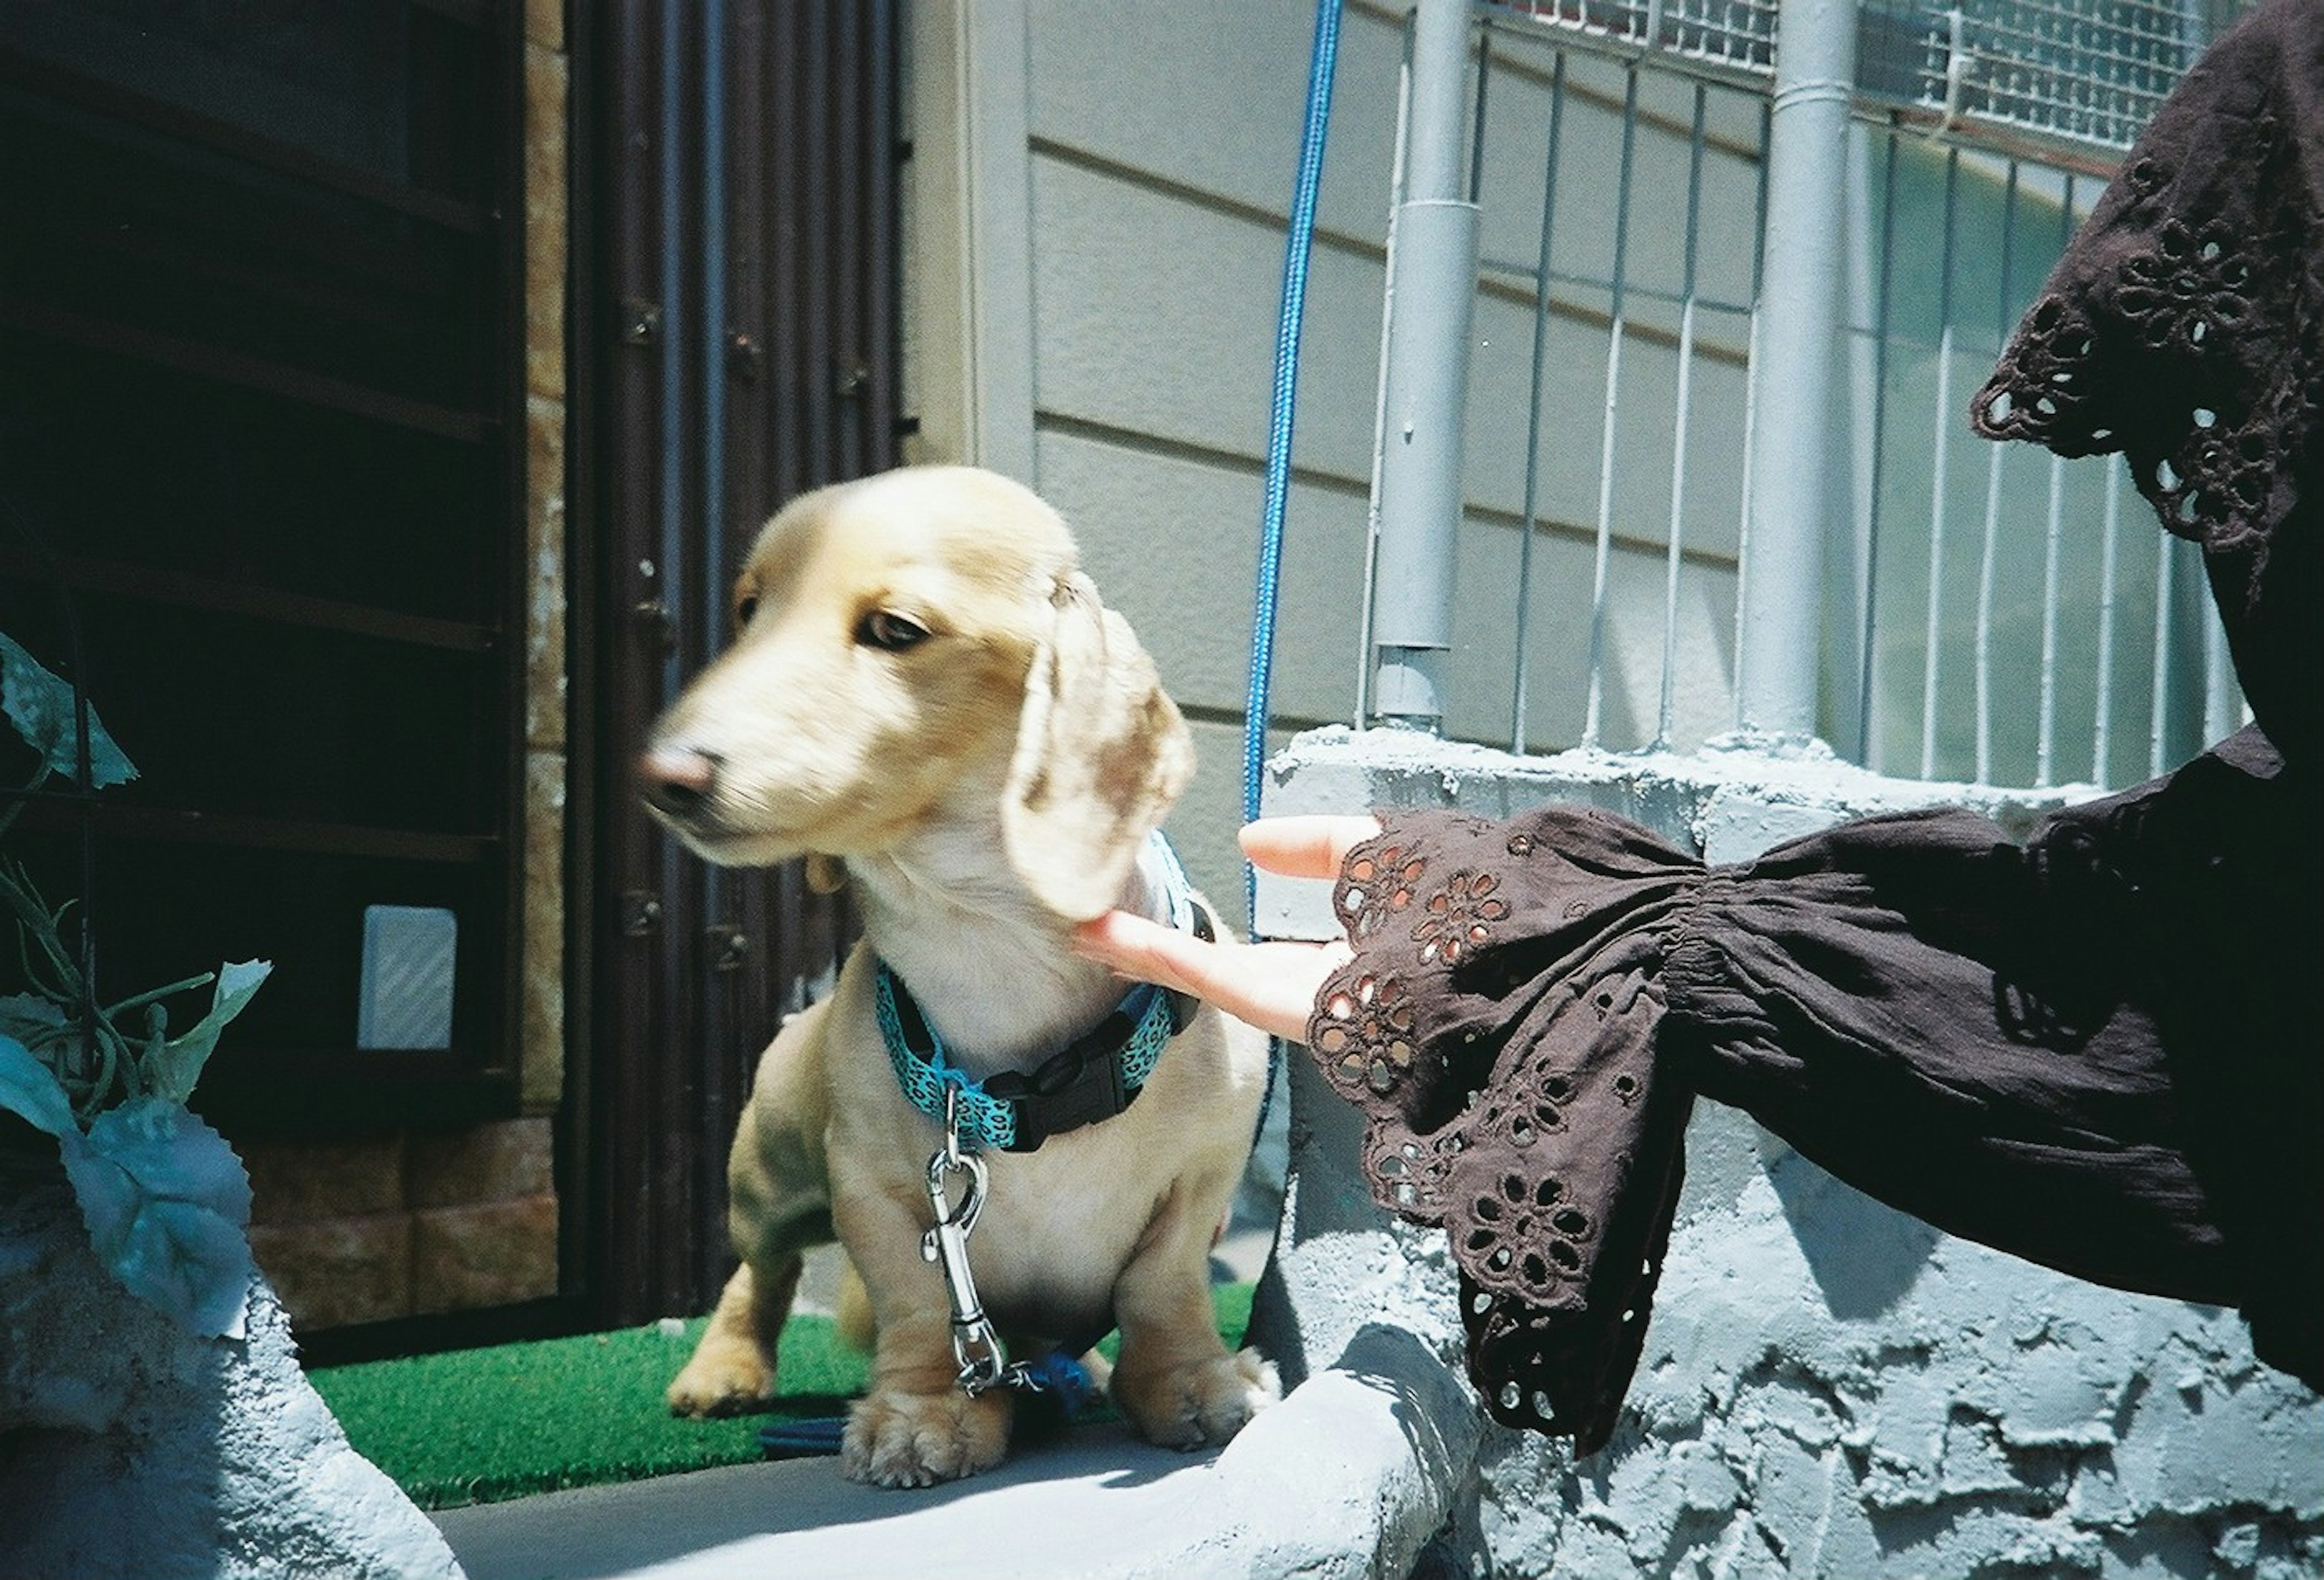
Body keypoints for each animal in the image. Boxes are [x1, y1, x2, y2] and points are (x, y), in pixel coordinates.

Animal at [646, 462, 1282, 1487]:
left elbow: (1163, 1286)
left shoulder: (1202, 1182)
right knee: (759, 1270)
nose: (664, 773)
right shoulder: (875, 1191)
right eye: (748, 610)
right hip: (767, 1175)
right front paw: (924, 1412)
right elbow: (914, 1301)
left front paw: (1194, 1381)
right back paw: (723, 1368)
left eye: (897, 629)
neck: (986, 949)